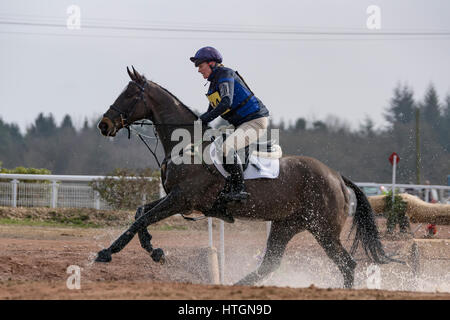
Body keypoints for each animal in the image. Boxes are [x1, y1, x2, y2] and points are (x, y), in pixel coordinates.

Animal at [96, 66, 398, 288]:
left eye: (129, 96)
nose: (104, 124)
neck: (186, 144)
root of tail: (336, 176)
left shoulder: (182, 199)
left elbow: (142, 218)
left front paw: (107, 252)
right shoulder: (176, 199)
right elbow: (140, 213)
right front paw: (154, 250)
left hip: (322, 229)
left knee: (347, 263)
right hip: (287, 224)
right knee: (271, 263)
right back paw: (236, 286)